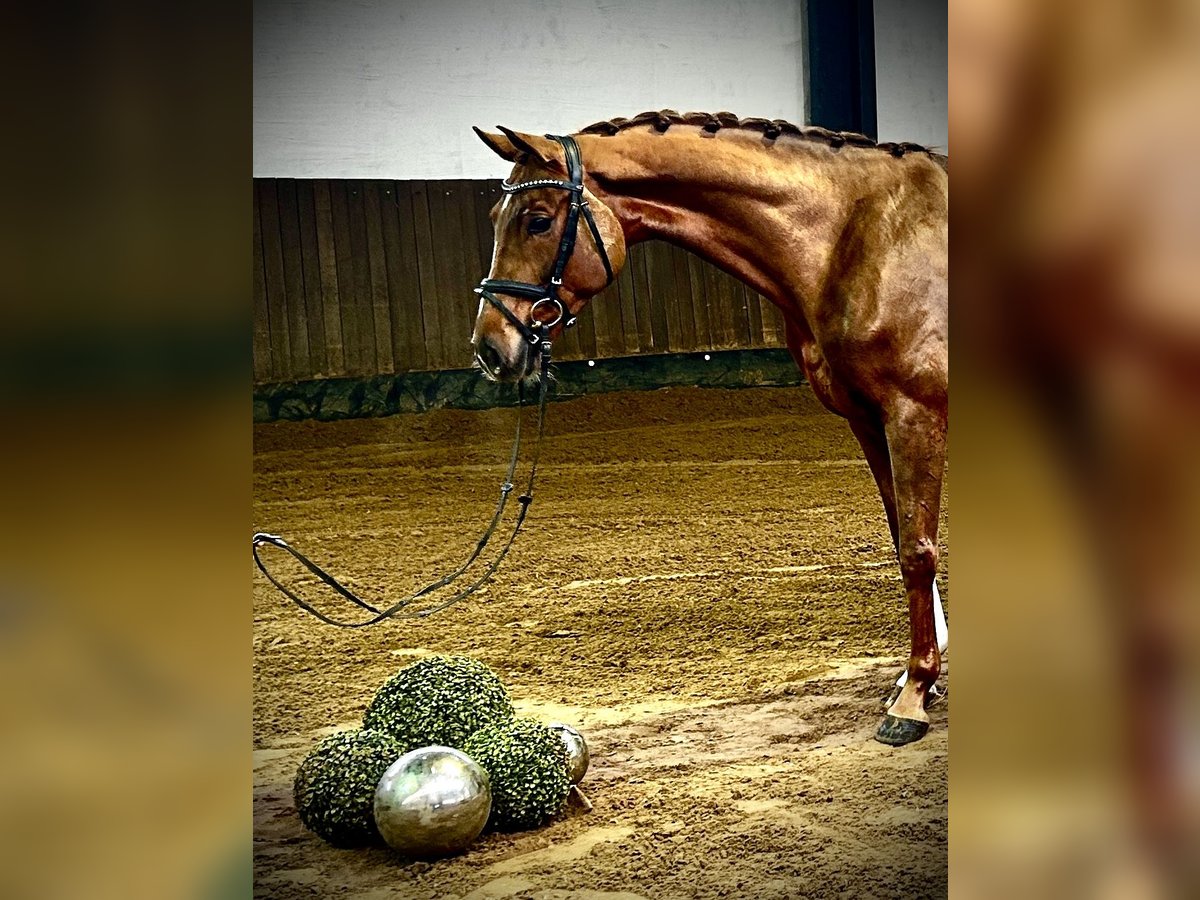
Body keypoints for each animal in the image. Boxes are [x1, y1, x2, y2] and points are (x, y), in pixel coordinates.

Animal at [468, 111, 945, 748]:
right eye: (497, 217)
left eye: (538, 220)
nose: (491, 348)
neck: (861, 237)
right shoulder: (869, 419)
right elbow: (901, 537)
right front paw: (917, 679)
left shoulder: (914, 413)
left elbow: (917, 551)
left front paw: (913, 696)